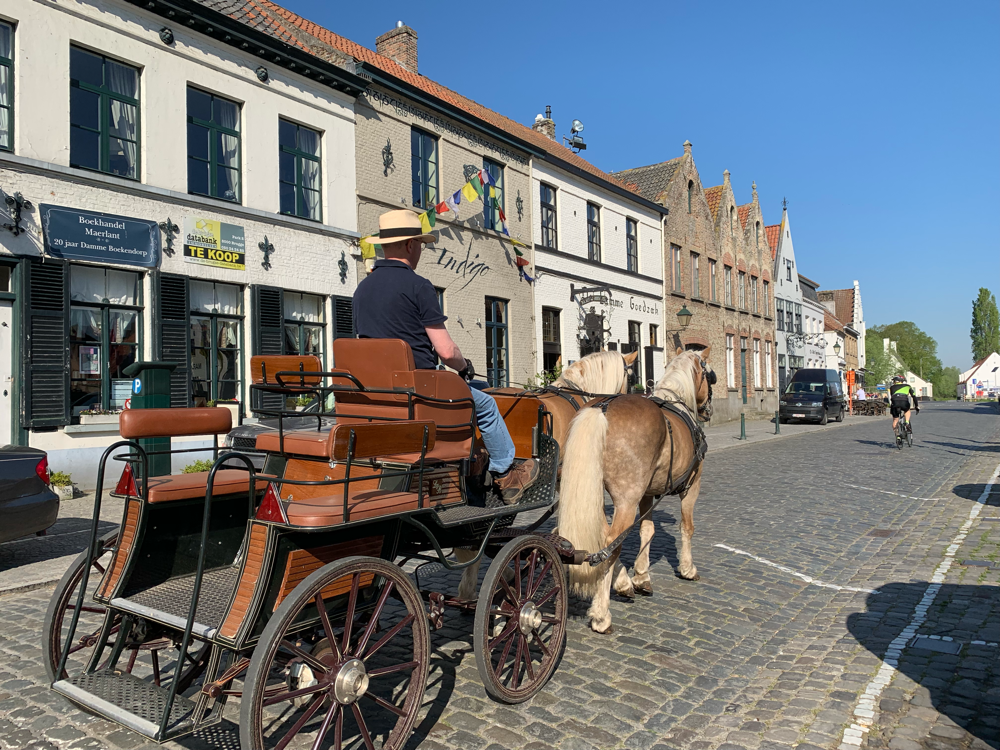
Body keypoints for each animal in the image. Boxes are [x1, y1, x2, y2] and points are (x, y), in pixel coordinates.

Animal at [560, 350, 716, 632]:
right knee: (611, 543)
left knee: (602, 536)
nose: (708, 409)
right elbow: (687, 527)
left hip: (593, 495)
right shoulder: (692, 486)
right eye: (710, 377)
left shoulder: (646, 494)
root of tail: (601, 409)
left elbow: (647, 530)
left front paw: (641, 577)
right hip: (626, 500)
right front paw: (687, 568)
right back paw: (601, 615)